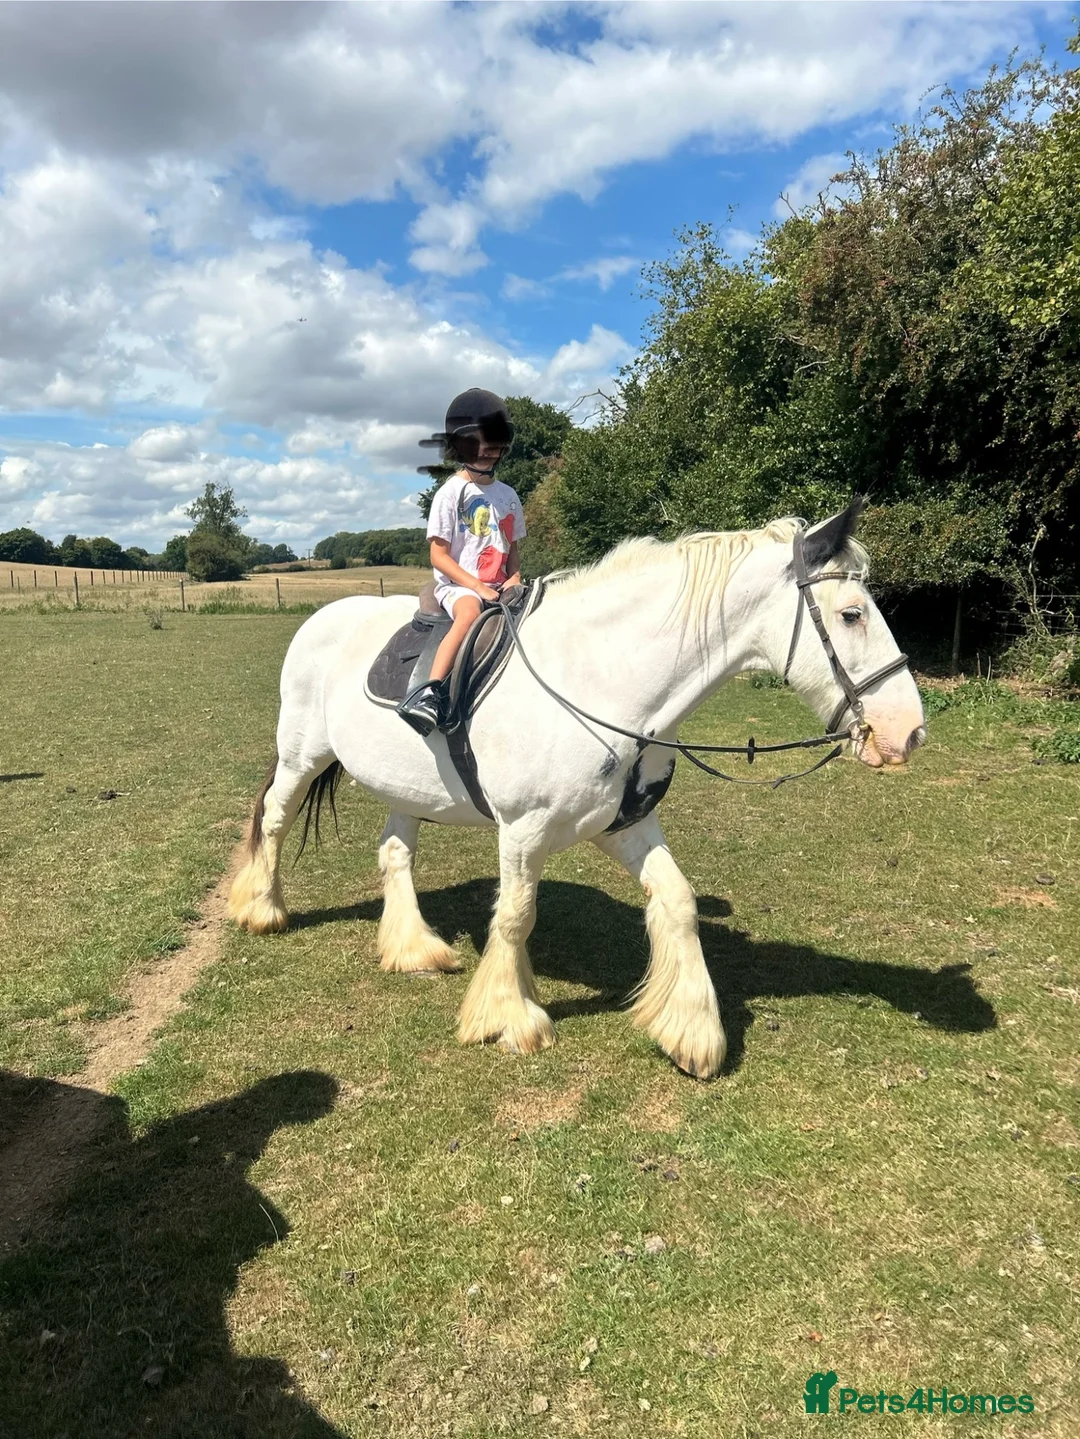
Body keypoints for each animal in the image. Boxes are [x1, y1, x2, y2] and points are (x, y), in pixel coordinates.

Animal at [228, 501, 926, 1079]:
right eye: (851, 614)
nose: (909, 731)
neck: (598, 681)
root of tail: (323, 617)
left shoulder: (625, 825)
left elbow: (678, 901)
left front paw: (690, 1032)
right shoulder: (523, 830)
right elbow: (515, 916)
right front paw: (507, 1019)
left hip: (406, 788)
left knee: (395, 853)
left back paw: (414, 948)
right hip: (300, 756)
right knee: (274, 819)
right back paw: (261, 908)